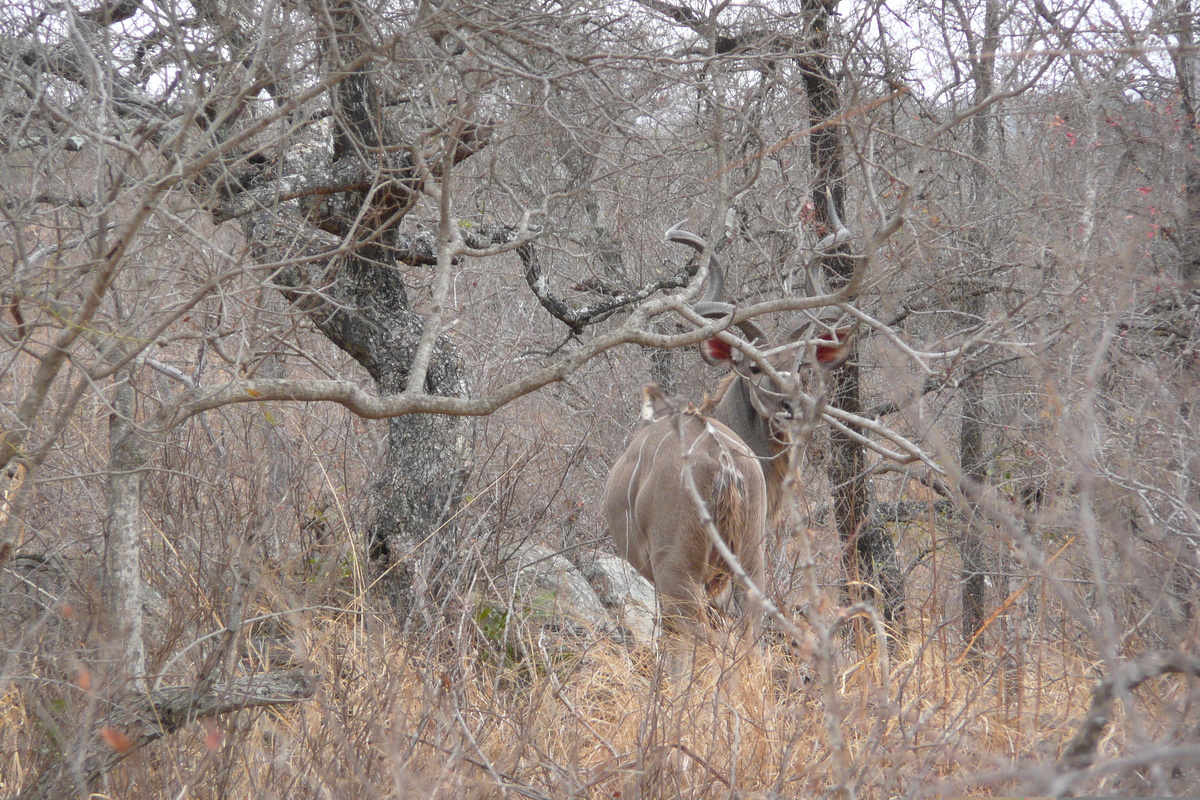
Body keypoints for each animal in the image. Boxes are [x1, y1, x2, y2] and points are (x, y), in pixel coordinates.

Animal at [600, 224, 854, 642]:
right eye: (754, 367)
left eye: (802, 365)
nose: (790, 406)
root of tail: (723, 465)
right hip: (749, 564)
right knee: (751, 633)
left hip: (679, 572)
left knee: (689, 637)